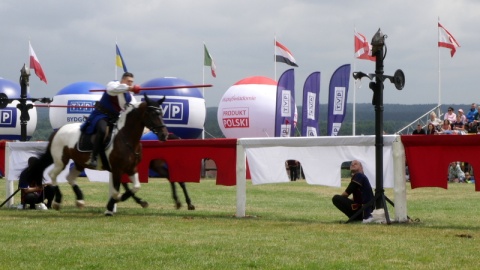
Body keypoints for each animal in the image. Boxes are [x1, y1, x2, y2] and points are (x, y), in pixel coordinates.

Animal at [29, 94, 169, 216]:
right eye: (152, 114)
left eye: (161, 113)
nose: (164, 135)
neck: (126, 138)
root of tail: (58, 131)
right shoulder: (117, 169)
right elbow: (116, 192)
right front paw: (110, 208)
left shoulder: (131, 169)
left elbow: (136, 187)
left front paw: (134, 201)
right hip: (61, 161)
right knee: (53, 175)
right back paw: (58, 201)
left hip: (79, 163)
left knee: (70, 178)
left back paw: (80, 200)